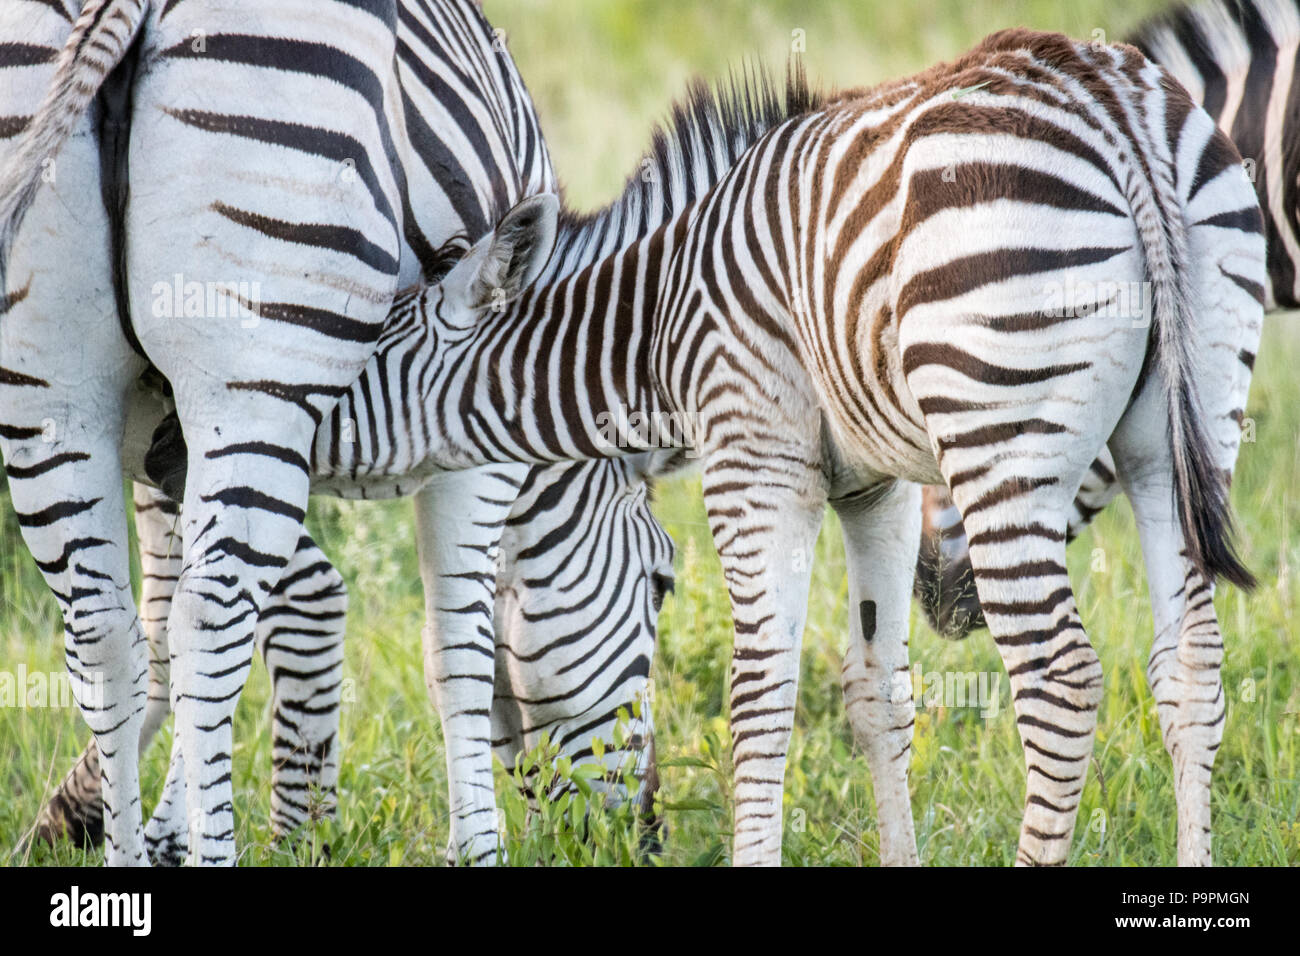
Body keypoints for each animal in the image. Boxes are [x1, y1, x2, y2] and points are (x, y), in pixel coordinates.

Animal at [0, 0, 670, 868]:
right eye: (662, 582)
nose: (647, 836)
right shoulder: (474, 447)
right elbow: (456, 645)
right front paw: (471, 848)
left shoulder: (158, 436)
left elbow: (165, 628)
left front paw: (144, 825)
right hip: (260, 362)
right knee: (211, 620)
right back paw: (219, 849)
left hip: (53, 391)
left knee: (105, 632)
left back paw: (128, 858)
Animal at [301, 31, 1258, 868]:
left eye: (362, 355)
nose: (288, 432)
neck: (656, 315)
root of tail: (1108, 105)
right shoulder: (877, 487)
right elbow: (878, 693)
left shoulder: (755, 463)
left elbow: (758, 699)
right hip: (1180, 437)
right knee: (1190, 669)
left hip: (1001, 448)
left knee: (1060, 679)